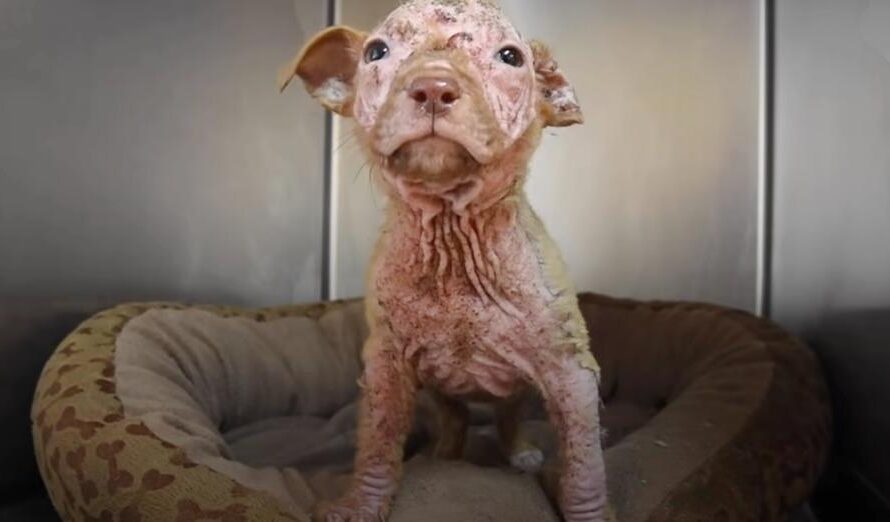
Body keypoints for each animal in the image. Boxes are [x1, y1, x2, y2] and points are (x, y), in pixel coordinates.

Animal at [280, 2, 604, 516]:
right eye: (376, 52)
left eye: (511, 56)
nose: (433, 86)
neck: (452, 240)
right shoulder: (386, 367)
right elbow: (377, 446)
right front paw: (360, 506)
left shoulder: (572, 371)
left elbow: (583, 470)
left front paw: (591, 511)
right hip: (441, 395)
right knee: (455, 424)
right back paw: (443, 456)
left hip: (515, 390)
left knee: (508, 417)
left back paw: (519, 452)